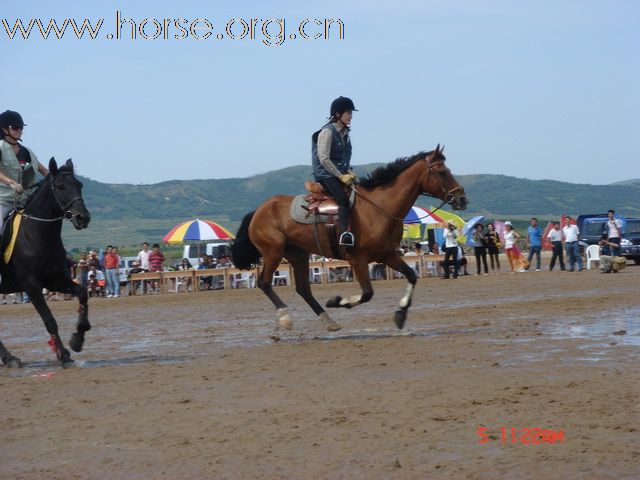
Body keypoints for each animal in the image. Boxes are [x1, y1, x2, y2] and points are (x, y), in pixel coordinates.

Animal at [0, 158, 91, 368]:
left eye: (79, 185)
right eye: (60, 186)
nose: (83, 217)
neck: (35, 234)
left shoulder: (54, 279)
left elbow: (82, 293)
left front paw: (77, 339)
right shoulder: (31, 285)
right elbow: (49, 320)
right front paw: (63, 355)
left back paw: (9, 358)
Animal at [230, 146, 464, 334]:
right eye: (442, 172)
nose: (462, 198)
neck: (379, 208)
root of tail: (258, 210)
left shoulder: (387, 255)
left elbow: (412, 276)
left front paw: (400, 315)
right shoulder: (358, 259)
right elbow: (367, 293)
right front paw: (337, 301)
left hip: (298, 254)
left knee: (303, 289)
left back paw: (329, 322)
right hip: (273, 253)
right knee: (264, 282)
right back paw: (286, 318)